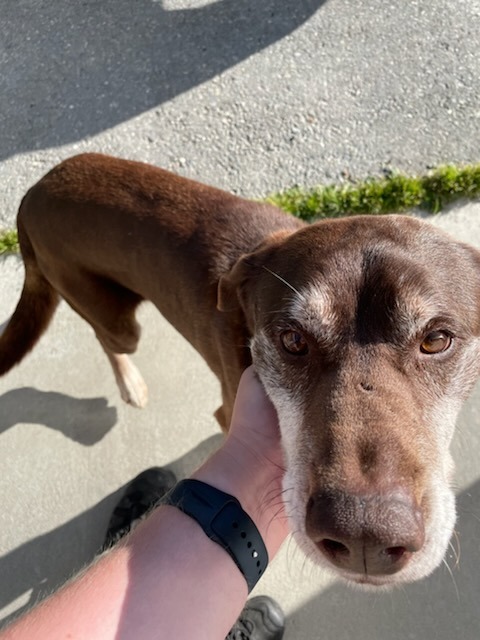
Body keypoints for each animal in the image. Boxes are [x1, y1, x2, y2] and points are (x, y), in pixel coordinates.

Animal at [1, 152, 478, 588]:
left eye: (436, 339)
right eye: (293, 340)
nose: (364, 538)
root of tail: (30, 194)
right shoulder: (228, 408)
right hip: (115, 319)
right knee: (107, 339)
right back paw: (130, 384)